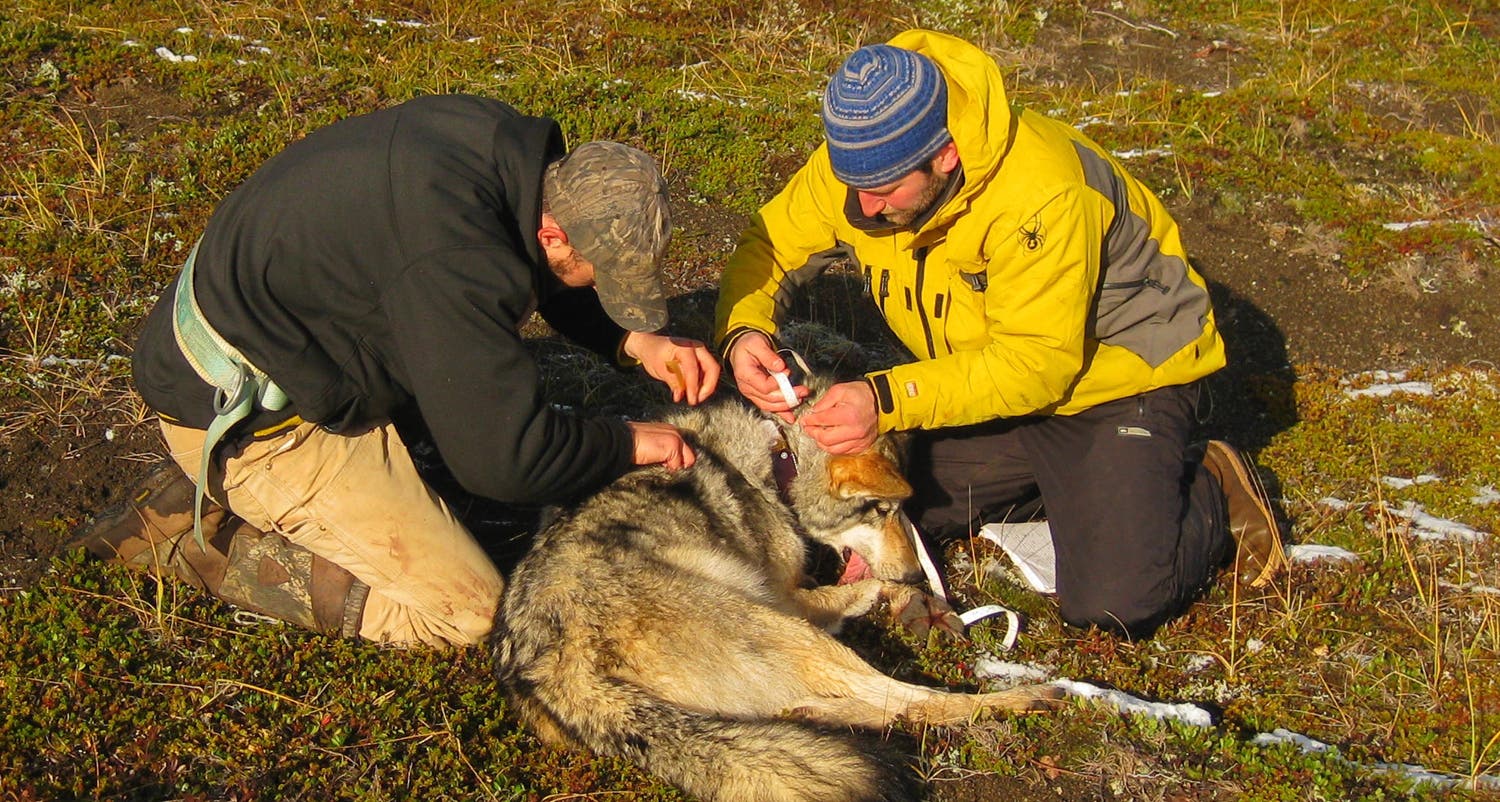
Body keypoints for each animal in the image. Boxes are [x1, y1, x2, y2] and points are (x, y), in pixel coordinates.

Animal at [490, 393, 1061, 802]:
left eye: (900, 512)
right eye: (881, 510)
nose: (917, 570)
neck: (775, 463)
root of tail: (549, 669)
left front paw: (916, 601)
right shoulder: (792, 598)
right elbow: (863, 587)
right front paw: (908, 594)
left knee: (862, 709)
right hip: (785, 628)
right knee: (916, 702)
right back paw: (1031, 697)